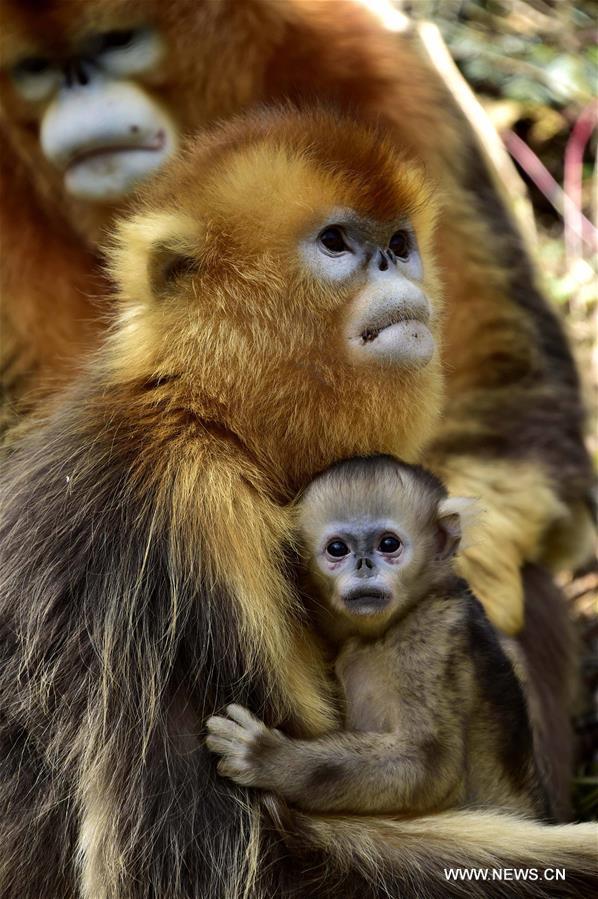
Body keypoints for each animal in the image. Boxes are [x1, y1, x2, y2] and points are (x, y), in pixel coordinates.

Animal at [209, 458, 552, 824]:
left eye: (389, 544)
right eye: (337, 549)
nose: (364, 567)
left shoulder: (431, 637)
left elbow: (428, 765)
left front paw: (266, 757)